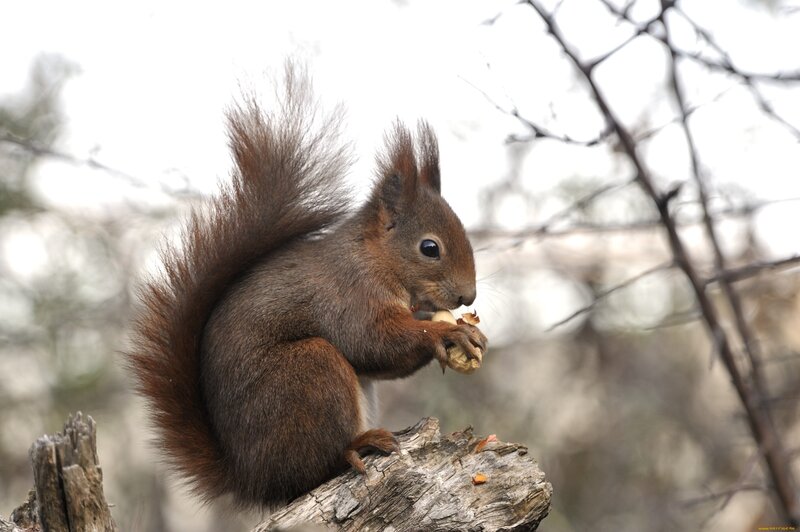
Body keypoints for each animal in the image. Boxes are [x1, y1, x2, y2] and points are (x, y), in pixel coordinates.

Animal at [127, 65, 487, 507]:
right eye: (430, 248)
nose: (467, 297)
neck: (374, 258)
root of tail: (253, 479)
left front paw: (467, 330)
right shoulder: (349, 293)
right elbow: (371, 341)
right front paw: (445, 332)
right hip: (310, 372)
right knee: (317, 466)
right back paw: (357, 445)